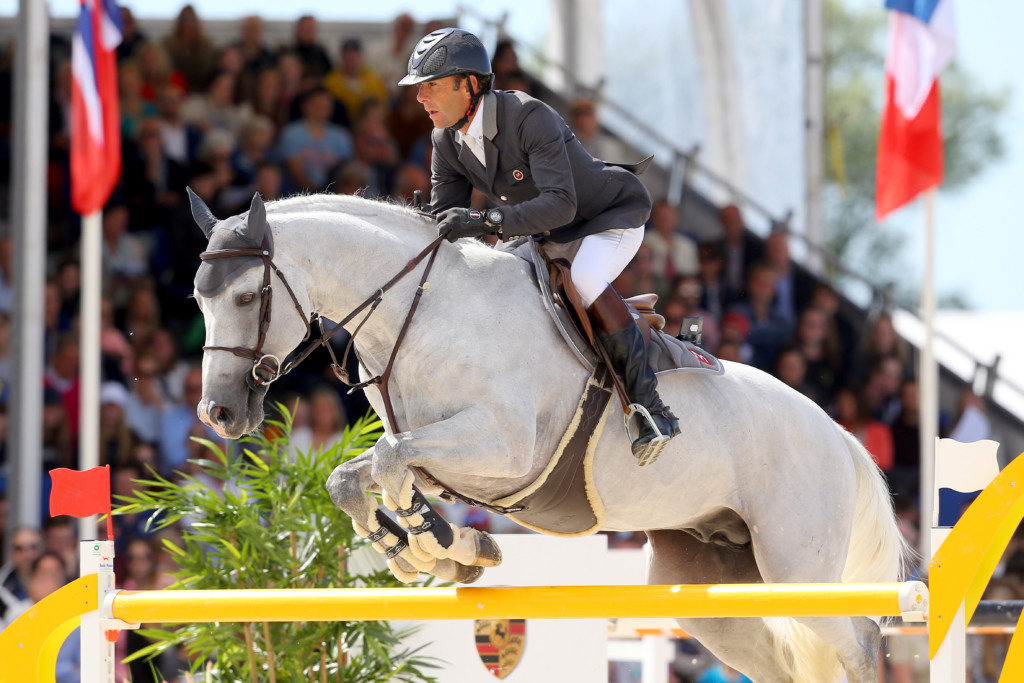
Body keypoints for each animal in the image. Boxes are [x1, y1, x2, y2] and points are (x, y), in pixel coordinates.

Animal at [190, 189, 905, 679]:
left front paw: (436, 547)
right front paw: (439, 550)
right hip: (716, 592)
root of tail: (838, 435)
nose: (218, 414)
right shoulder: (444, 457)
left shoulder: (506, 450)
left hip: (796, 566)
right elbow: (358, 475)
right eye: (198, 300)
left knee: (860, 640)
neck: (423, 311)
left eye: (247, 298)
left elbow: (390, 460)